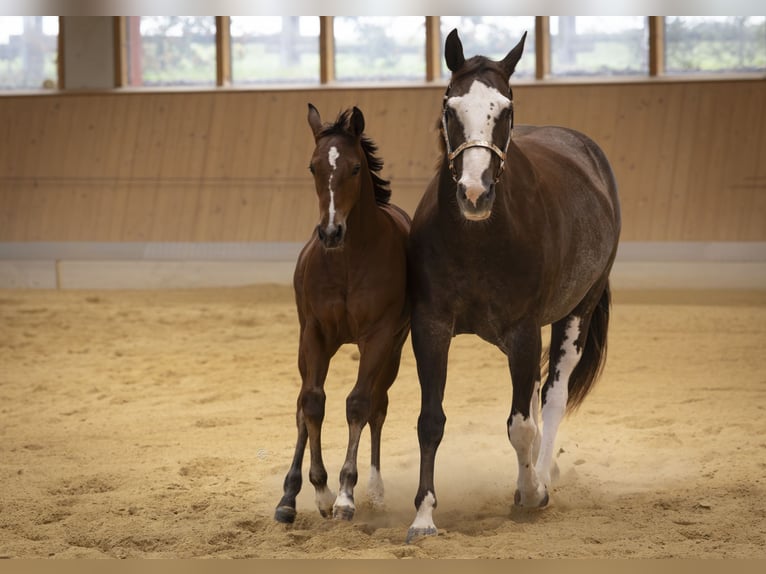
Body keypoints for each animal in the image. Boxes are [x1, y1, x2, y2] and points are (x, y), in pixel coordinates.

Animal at [274, 104, 411, 524]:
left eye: (354, 168)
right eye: (313, 166)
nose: (330, 232)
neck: (348, 260)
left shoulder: (379, 337)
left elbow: (359, 404)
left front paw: (346, 494)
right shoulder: (315, 333)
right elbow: (313, 403)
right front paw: (318, 491)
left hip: (394, 351)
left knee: (378, 406)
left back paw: (375, 489)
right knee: (302, 405)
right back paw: (288, 496)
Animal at [405, 30, 621, 542]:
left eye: (506, 109)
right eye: (450, 106)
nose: (474, 193)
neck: (478, 240)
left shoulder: (524, 333)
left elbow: (522, 426)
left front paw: (530, 493)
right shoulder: (430, 328)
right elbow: (430, 420)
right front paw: (423, 516)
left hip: (576, 313)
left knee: (552, 398)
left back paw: (541, 475)